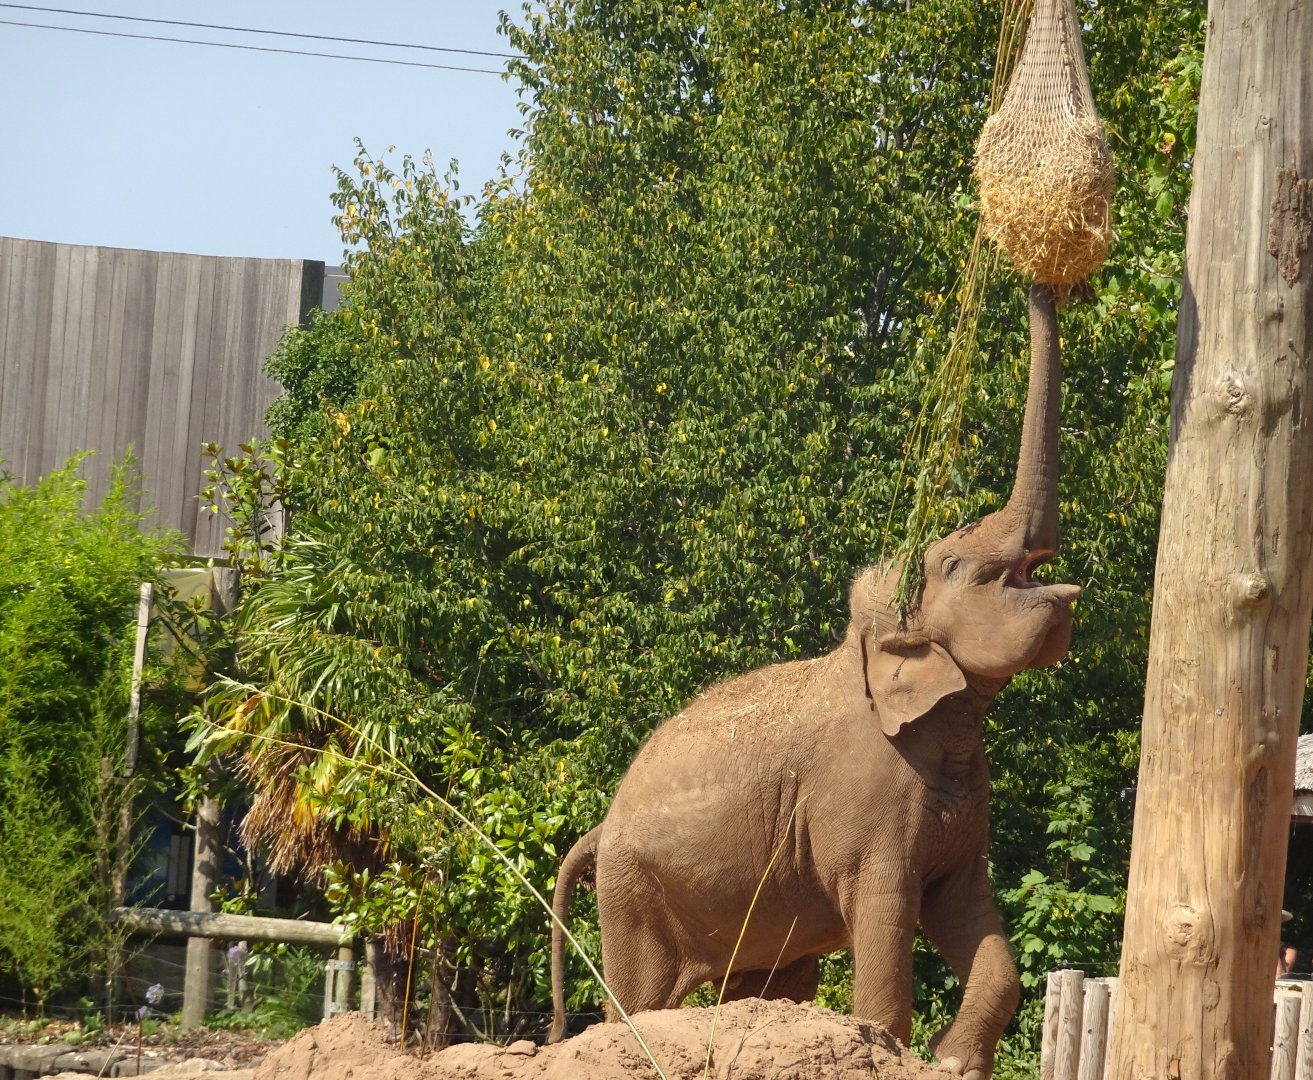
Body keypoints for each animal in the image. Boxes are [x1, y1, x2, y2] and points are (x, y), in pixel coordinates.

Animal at [547, 284, 1078, 1080]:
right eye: (955, 565)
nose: (1042, 282)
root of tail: (602, 825)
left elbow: (972, 919)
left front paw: (951, 1061)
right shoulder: (860, 804)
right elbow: (886, 914)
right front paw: (891, 1046)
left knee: (762, 982)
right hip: (632, 893)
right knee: (639, 996)